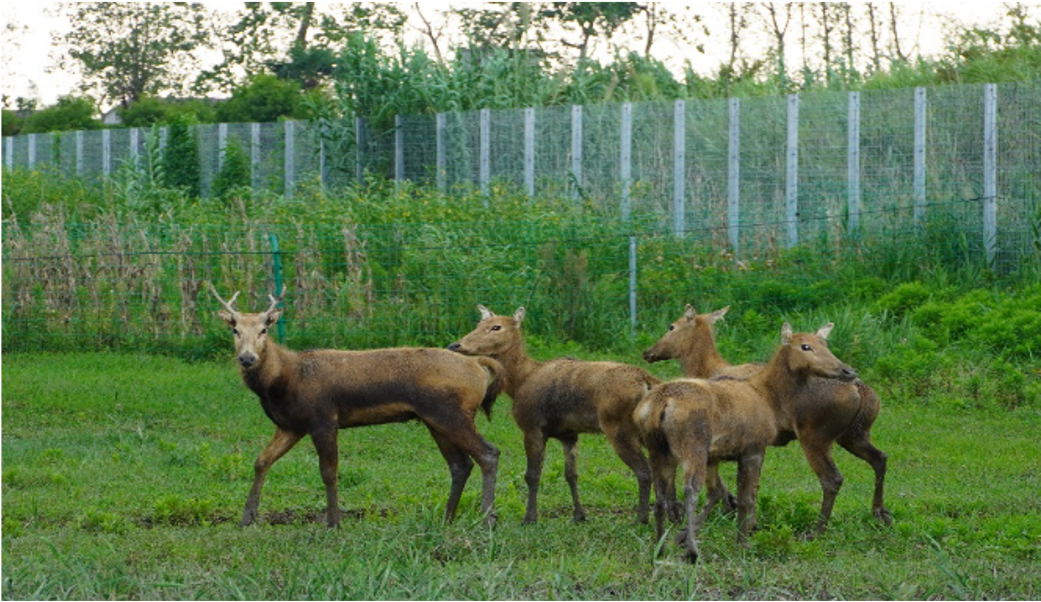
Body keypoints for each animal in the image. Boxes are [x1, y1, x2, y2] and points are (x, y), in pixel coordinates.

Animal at [208, 281, 503, 524]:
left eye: (264, 329)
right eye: (234, 329)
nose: (247, 358)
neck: (284, 381)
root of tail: (479, 364)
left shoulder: (323, 418)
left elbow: (328, 471)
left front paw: (333, 522)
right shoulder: (291, 425)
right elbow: (261, 461)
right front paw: (247, 518)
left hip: (451, 413)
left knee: (488, 453)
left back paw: (486, 519)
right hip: (435, 419)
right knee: (460, 465)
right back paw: (447, 518)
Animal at [447, 304, 657, 520]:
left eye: (496, 327)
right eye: (479, 323)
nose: (455, 345)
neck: (519, 382)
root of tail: (648, 382)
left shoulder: (532, 426)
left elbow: (532, 475)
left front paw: (530, 518)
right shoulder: (569, 434)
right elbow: (571, 475)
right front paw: (579, 515)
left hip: (618, 427)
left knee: (644, 471)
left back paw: (641, 519)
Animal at [641, 304, 886, 533]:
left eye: (671, 326)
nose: (648, 352)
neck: (704, 369)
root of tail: (862, 392)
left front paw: (729, 507)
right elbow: (753, 484)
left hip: (815, 435)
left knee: (832, 478)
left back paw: (817, 530)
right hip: (854, 434)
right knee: (880, 458)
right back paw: (880, 513)